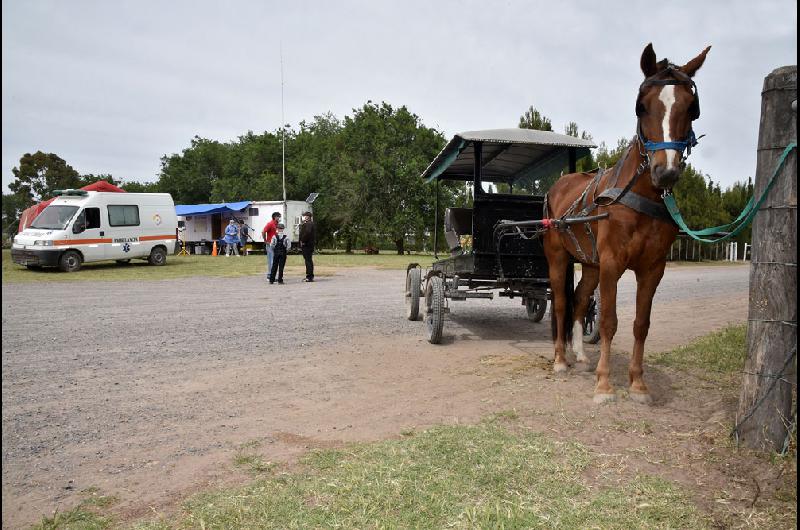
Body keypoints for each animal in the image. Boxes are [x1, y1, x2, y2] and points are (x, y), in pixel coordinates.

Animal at [544, 43, 712, 402]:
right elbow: (609, 321)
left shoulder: (652, 268)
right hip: (559, 257)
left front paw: (637, 383)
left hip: (590, 264)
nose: (666, 171)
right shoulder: (611, 263)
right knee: (563, 304)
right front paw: (604, 383)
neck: (639, 199)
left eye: (691, 109)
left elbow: (640, 324)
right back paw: (561, 360)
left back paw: (580, 356)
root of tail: (557, 186)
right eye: (641, 106)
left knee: (580, 301)